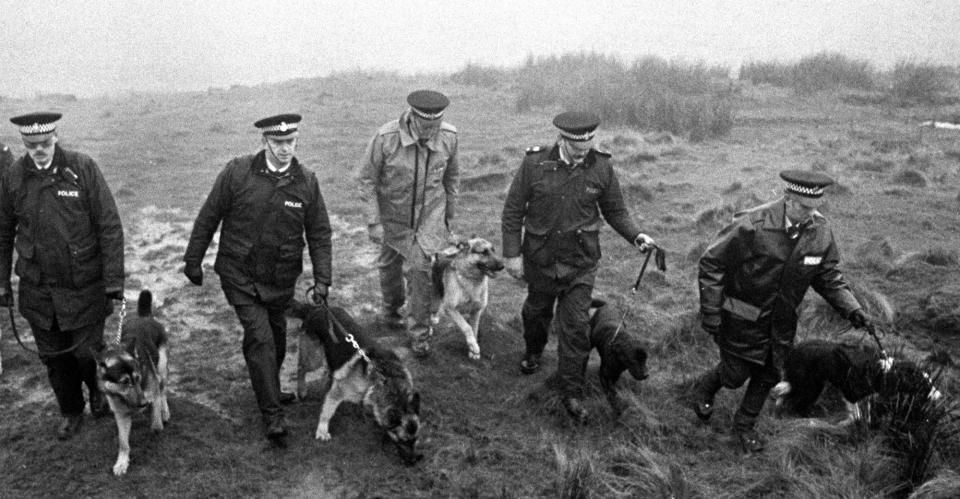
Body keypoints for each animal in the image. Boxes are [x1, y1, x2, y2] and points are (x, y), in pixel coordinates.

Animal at [95, 292, 169, 478]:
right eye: (124, 382)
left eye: (137, 377)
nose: (143, 403)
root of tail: (144, 316)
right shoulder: (121, 415)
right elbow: (123, 443)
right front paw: (122, 463)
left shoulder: (152, 395)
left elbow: (156, 425)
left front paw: (157, 425)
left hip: (162, 368)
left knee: (163, 390)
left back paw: (165, 412)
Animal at [284, 302, 422, 466]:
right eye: (404, 441)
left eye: (416, 440)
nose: (414, 461)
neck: (388, 380)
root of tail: (316, 308)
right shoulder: (338, 392)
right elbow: (327, 411)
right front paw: (322, 430)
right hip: (314, 359)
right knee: (301, 368)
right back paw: (302, 389)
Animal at [768, 338, 940, 424]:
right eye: (924, 383)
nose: (939, 395)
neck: (885, 372)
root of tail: (792, 352)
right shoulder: (851, 391)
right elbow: (856, 413)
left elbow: (867, 412)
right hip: (810, 385)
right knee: (794, 401)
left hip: (808, 383)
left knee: (784, 393)